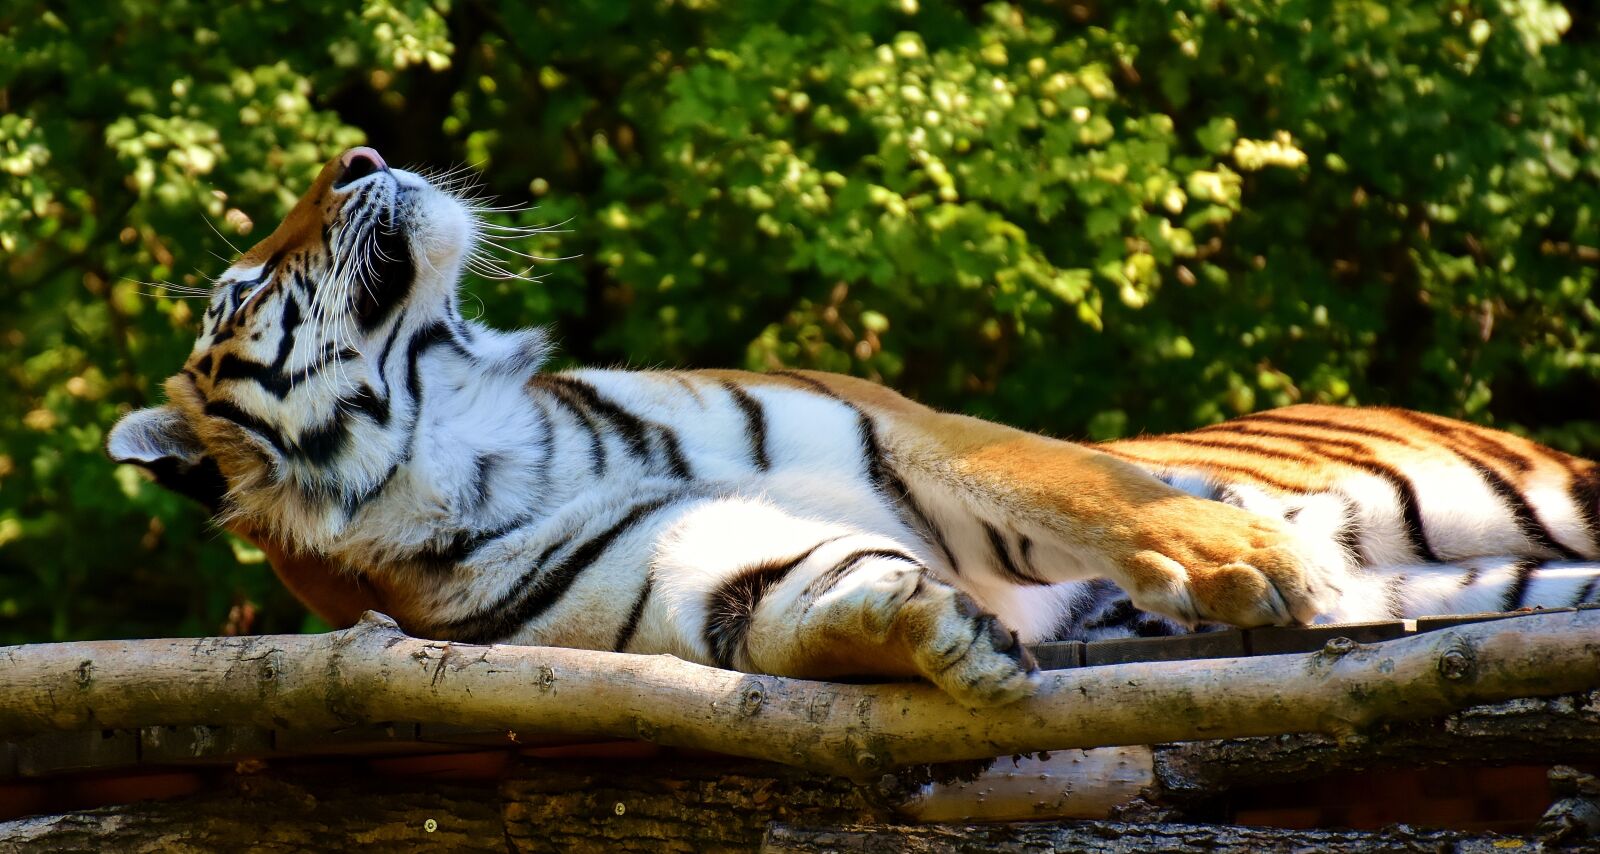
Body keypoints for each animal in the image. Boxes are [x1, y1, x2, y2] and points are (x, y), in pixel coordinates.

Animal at [107, 147, 1600, 706]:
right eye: (242, 285)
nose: (360, 154)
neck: (478, 443)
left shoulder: (915, 431)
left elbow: (1085, 484)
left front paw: (1239, 558)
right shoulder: (686, 581)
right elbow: (803, 596)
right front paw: (930, 633)